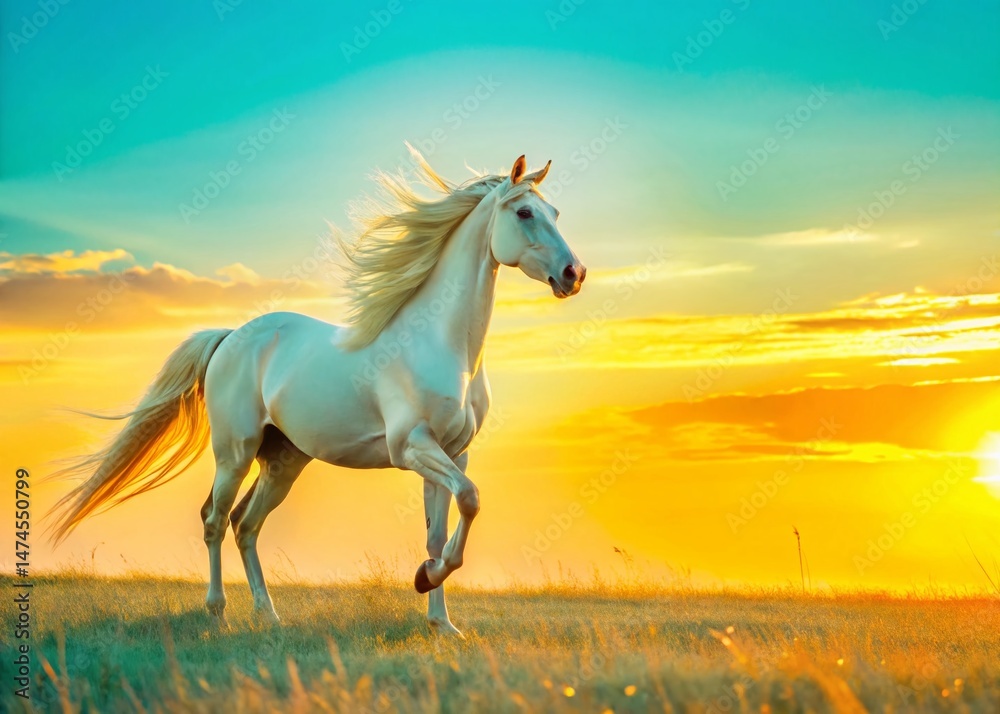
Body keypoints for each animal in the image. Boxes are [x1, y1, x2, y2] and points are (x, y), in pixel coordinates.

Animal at [49, 148, 586, 636]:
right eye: (524, 213)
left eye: (557, 213)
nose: (574, 275)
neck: (440, 344)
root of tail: (230, 337)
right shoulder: (413, 447)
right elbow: (471, 499)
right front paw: (425, 581)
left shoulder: (454, 453)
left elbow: (438, 532)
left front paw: (440, 619)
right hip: (234, 452)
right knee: (214, 519)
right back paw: (218, 611)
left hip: (283, 460)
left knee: (245, 524)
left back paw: (269, 615)